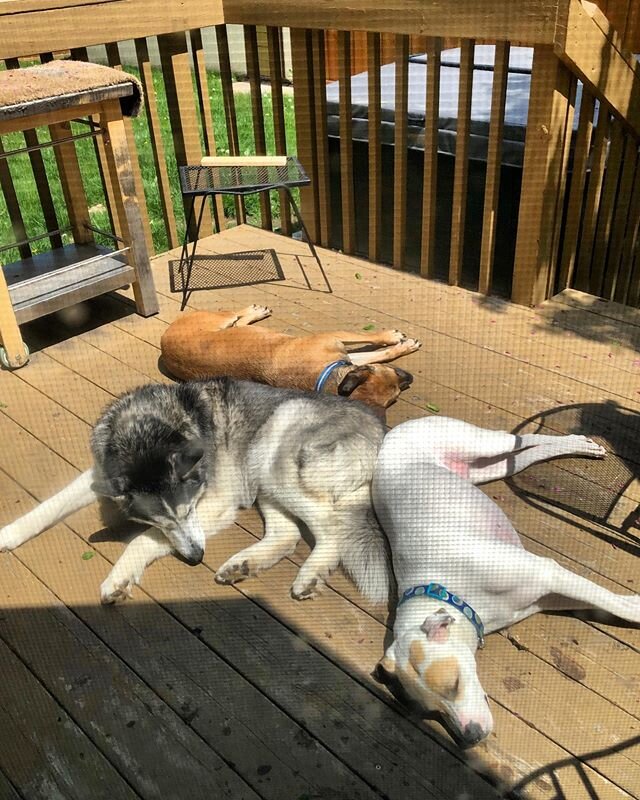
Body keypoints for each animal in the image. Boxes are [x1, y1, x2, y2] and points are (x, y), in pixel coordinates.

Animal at [159, 304, 420, 412]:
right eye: (395, 373)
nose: (411, 379)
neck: (326, 378)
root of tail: (164, 342)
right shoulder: (337, 337)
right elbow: (369, 338)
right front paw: (393, 337)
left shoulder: (346, 360)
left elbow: (377, 353)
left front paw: (400, 347)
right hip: (218, 317)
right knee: (234, 315)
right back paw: (253, 311)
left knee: (239, 323)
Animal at [372, 416, 636, 748]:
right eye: (431, 711)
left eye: (455, 683)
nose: (470, 737)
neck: (453, 594)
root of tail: (395, 431)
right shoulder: (544, 596)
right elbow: (603, 603)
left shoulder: (548, 572)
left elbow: (613, 603)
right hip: (487, 469)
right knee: (526, 453)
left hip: (481, 443)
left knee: (521, 439)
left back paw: (579, 443)